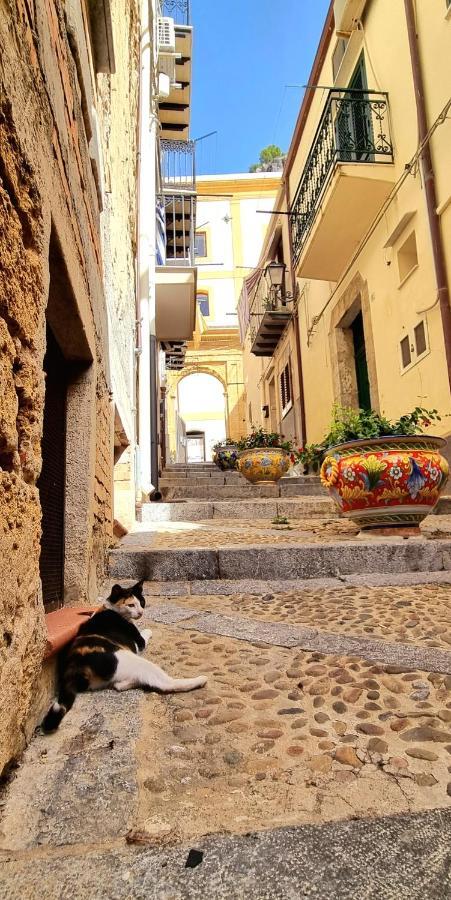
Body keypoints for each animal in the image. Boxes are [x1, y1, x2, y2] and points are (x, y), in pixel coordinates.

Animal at [41, 580, 207, 736]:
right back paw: (200, 680)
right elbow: (146, 633)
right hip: (137, 662)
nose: (140, 612)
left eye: (142, 602)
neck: (112, 609)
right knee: (165, 683)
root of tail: (76, 667)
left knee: (119, 685)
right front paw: (148, 629)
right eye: (131, 605)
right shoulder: (138, 642)